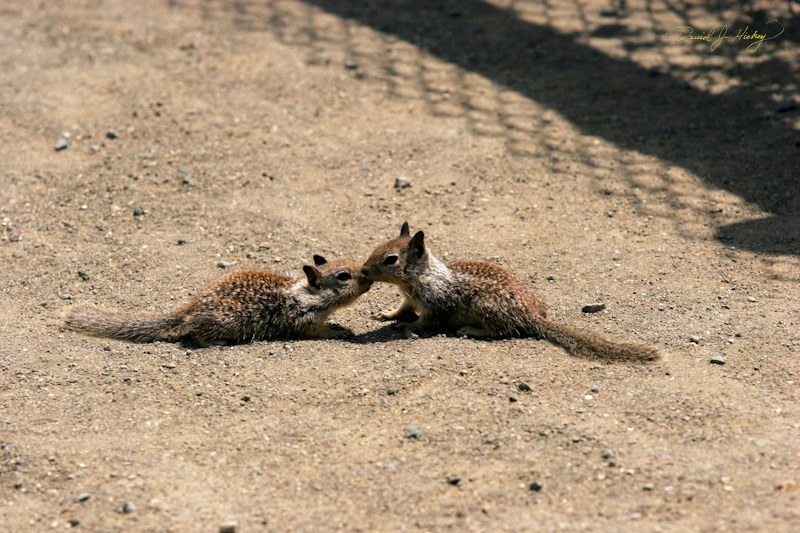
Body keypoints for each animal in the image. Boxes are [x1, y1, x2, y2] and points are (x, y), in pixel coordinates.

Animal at [63, 255, 372, 346]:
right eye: (344, 276)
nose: (368, 278)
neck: (304, 294)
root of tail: (190, 308)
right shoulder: (304, 320)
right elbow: (319, 330)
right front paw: (339, 331)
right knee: (196, 334)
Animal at [362, 223, 659, 362]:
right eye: (376, 246)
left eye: (390, 259)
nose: (363, 270)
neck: (422, 276)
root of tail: (533, 316)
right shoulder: (409, 298)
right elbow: (401, 309)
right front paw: (386, 314)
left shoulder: (435, 306)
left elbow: (424, 322)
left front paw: (404, 325)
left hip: (485, 307)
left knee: (502, 331)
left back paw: (471, 330)